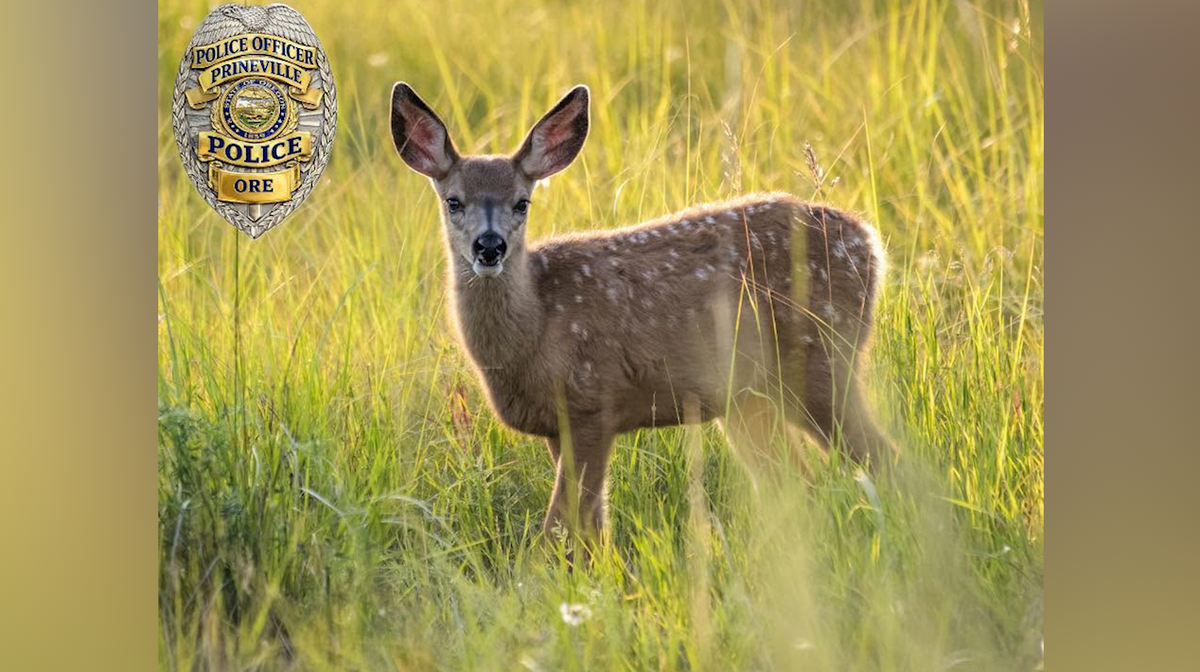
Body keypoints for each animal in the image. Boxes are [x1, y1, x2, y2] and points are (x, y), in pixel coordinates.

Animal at [389, 82, 897, 546]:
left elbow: (561, 527)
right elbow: (592, 529)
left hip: (822, 357)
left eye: (522, 202)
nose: (490, 246)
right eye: (453, 201)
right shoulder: (557, 425)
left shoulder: (592, 402)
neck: (535, 328)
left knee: (884, 457)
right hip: (748, 397)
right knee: (794, 482)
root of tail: (870, 242)